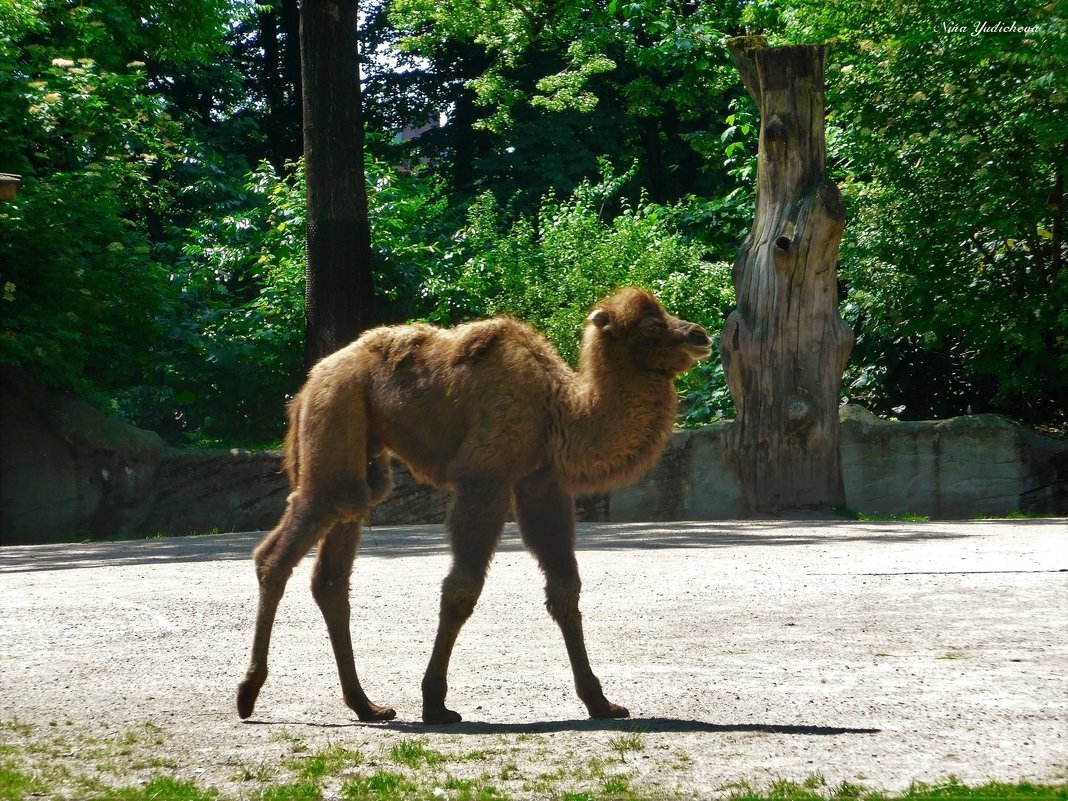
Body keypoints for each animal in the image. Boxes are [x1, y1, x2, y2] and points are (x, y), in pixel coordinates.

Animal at [238, 290, 713, 726]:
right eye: (649, 325)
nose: (700, 335)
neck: (558, 411)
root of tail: (309, 382)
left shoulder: (541, 485)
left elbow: (565, 588)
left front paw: (601, 703)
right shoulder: (484, 478)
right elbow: (461, 589)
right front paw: (435, 704)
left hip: (362, 451)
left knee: (334, 569)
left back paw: (366, 705)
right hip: (337, 413)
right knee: (281, 551)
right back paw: (248, 695)